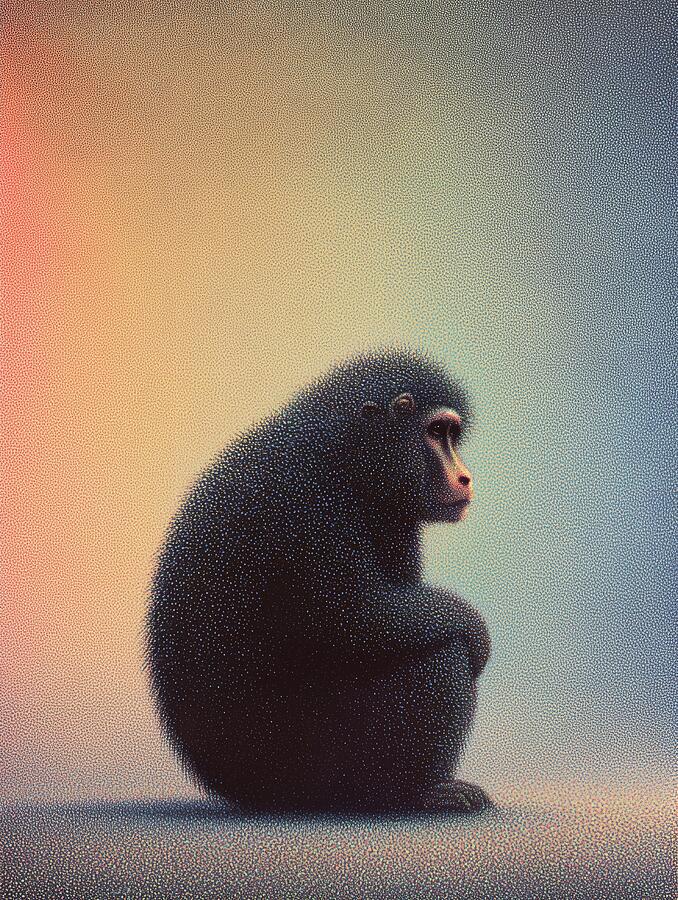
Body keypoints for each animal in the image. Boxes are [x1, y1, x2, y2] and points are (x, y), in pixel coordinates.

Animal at [146, 348, 493, 814]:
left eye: (452, 434)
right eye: (436, 432)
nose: (465, 476)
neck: (345, 456)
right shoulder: (312, 503)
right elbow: (362, 619)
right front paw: (473, 625)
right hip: (314, 773)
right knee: (442, 655)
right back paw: (413, 794)